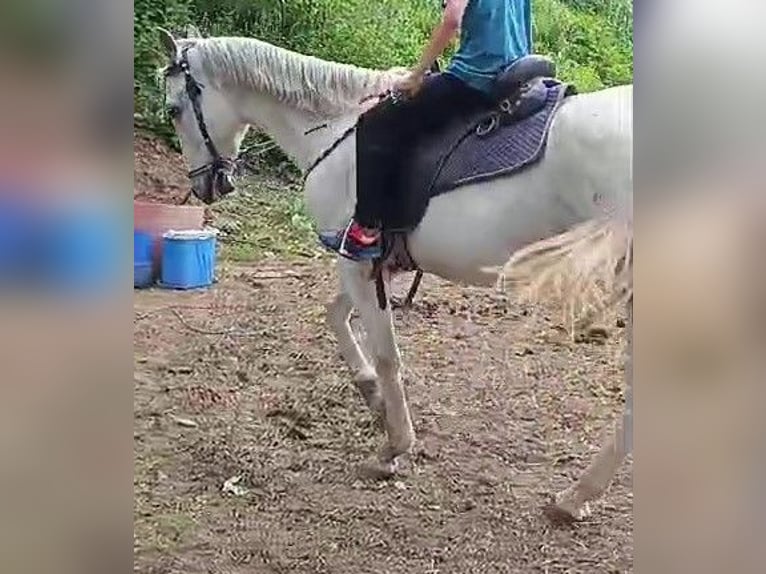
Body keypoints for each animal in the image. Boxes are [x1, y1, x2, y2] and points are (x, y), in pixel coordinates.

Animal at [159, 27, 632, 520]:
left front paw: (394, 447)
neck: (336, 130)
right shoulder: (376, 261)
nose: (205, 186)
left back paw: (576, 496)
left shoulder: (355, 261)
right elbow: (336, 316)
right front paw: (370, 393)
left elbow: (386, 354)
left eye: (174, 109)